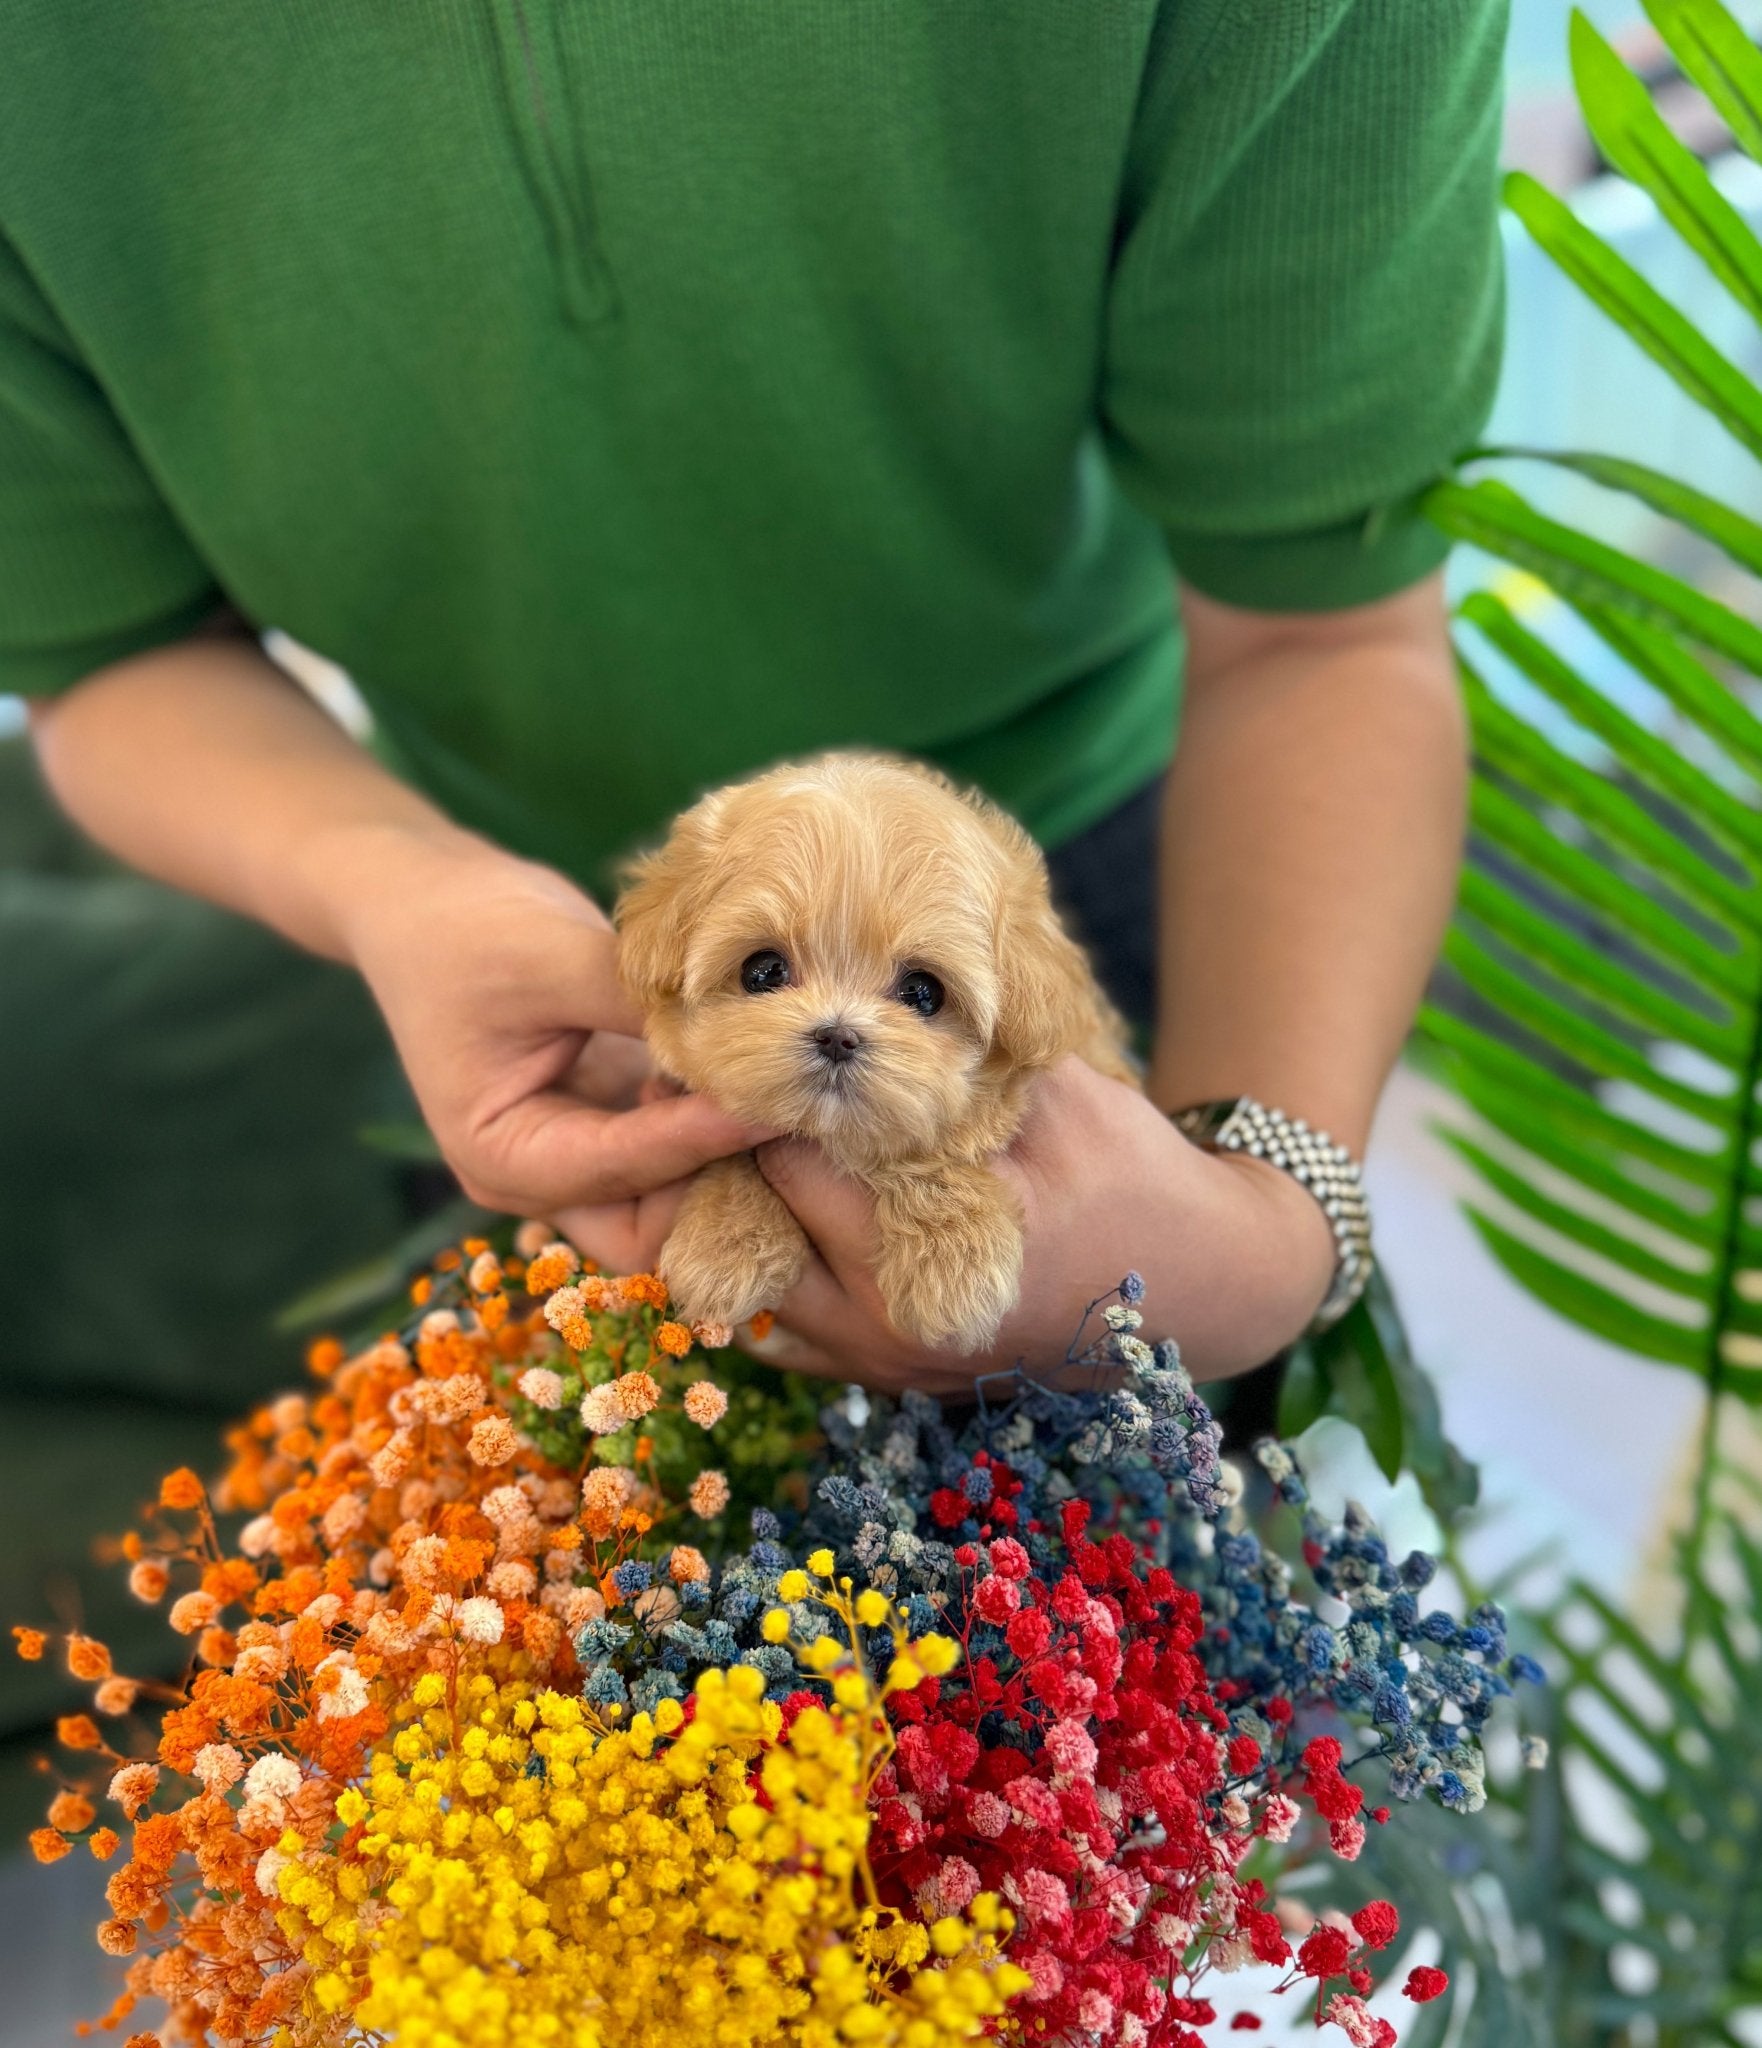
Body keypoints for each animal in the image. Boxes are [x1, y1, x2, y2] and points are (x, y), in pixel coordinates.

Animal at [618, 753, 1139, 1359]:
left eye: (923, 992)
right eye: (763, 971)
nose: (837, 1036)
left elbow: (925, 1147)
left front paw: (952, 1264)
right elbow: (734, 1151)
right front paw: (726, 1244)